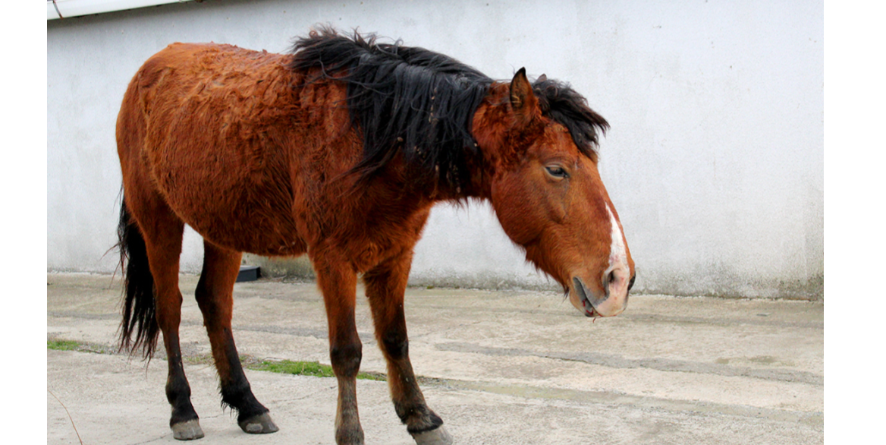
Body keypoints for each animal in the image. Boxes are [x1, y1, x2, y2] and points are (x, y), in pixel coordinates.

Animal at [114, 28, 636, 444]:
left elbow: (395, 339)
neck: (374, 135)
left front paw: (421, 418)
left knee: (215, 304)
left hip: (222, 225)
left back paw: (248, 405)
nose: (618, 279)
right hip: (159, 219)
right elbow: (347, 352)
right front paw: (350, 432)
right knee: (170, 308)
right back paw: (183, 409)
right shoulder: (333, 259)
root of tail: (147, 69)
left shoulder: (394, 254)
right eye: (556, 168)